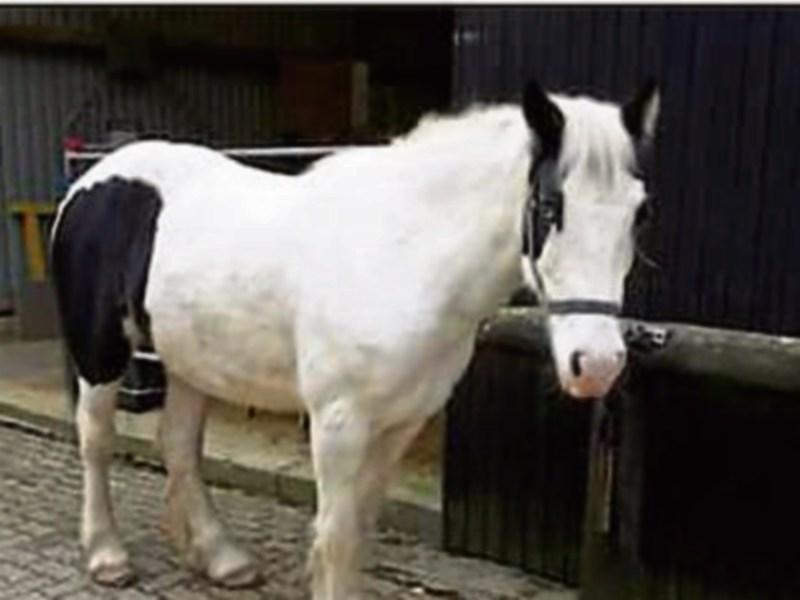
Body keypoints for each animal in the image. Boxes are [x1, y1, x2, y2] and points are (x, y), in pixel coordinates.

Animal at [50, 78, 659, 599]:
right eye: (551, 206)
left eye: (640, 213)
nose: (597, 363)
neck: (402, 252)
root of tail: (90, 181)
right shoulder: (339, 424)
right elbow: (338, 538)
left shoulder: (399, 423)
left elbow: (361, 530)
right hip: (100, 354)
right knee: (96, 438)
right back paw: (107, 554)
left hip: (192, 357)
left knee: (177, 443)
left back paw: (221, 558)